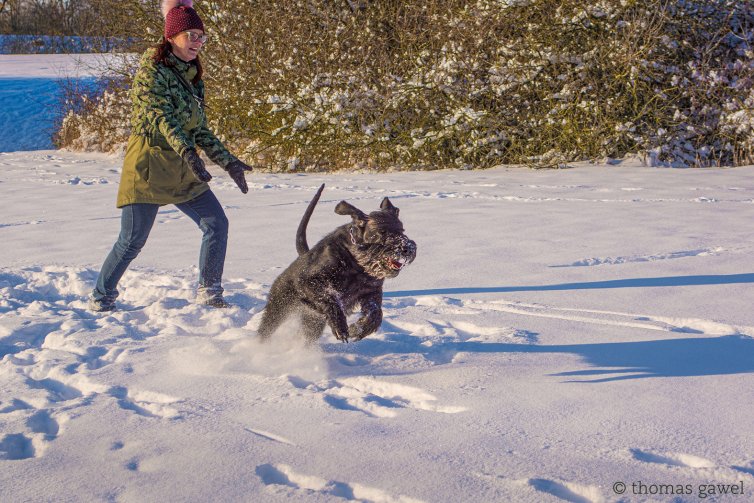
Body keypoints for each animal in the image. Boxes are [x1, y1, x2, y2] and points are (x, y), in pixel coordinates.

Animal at [258, 183, 412, 344]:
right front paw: (341, 326)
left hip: (314, 322)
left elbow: (376, 313)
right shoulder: (310, 282)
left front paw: (358, 329)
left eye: (402, 230)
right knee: (266, 330)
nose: (407, 248)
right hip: (279, 308)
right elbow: (330, 300)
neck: (357, 263)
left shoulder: (371, 292)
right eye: (382, 232)